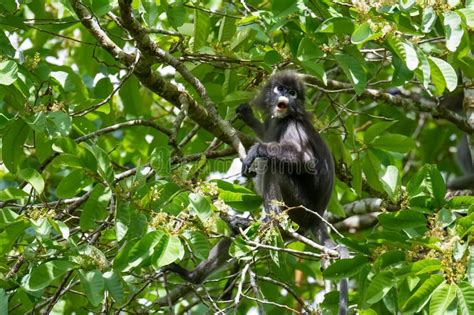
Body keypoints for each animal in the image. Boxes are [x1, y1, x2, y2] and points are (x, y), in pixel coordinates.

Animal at [237, 71, 348, 315]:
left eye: (293, 93)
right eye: (281, 89)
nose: (287, 96)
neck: (281, 118)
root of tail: (317, 216)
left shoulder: (292, 125)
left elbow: (306, 162)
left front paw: (256, 149)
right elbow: (264, 130)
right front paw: (249, 117)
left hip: (299, 205)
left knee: (274, 165)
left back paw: (272, 223)